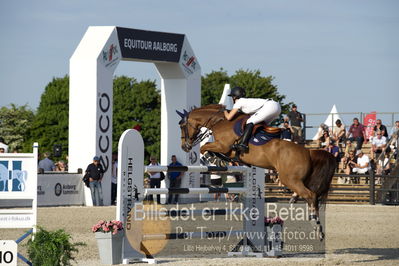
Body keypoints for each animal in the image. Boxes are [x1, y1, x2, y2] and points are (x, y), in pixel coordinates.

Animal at [178, 103, 338, 239]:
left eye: (182, 126)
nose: (184, 146)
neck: (220, 121)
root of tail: (309, 152)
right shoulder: (224, 148)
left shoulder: (222, 146)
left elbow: (204, 148)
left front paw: (212, 158)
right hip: (301, 180)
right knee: (312, 197)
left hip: (289, 180)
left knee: (311, 196)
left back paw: (316, 226)